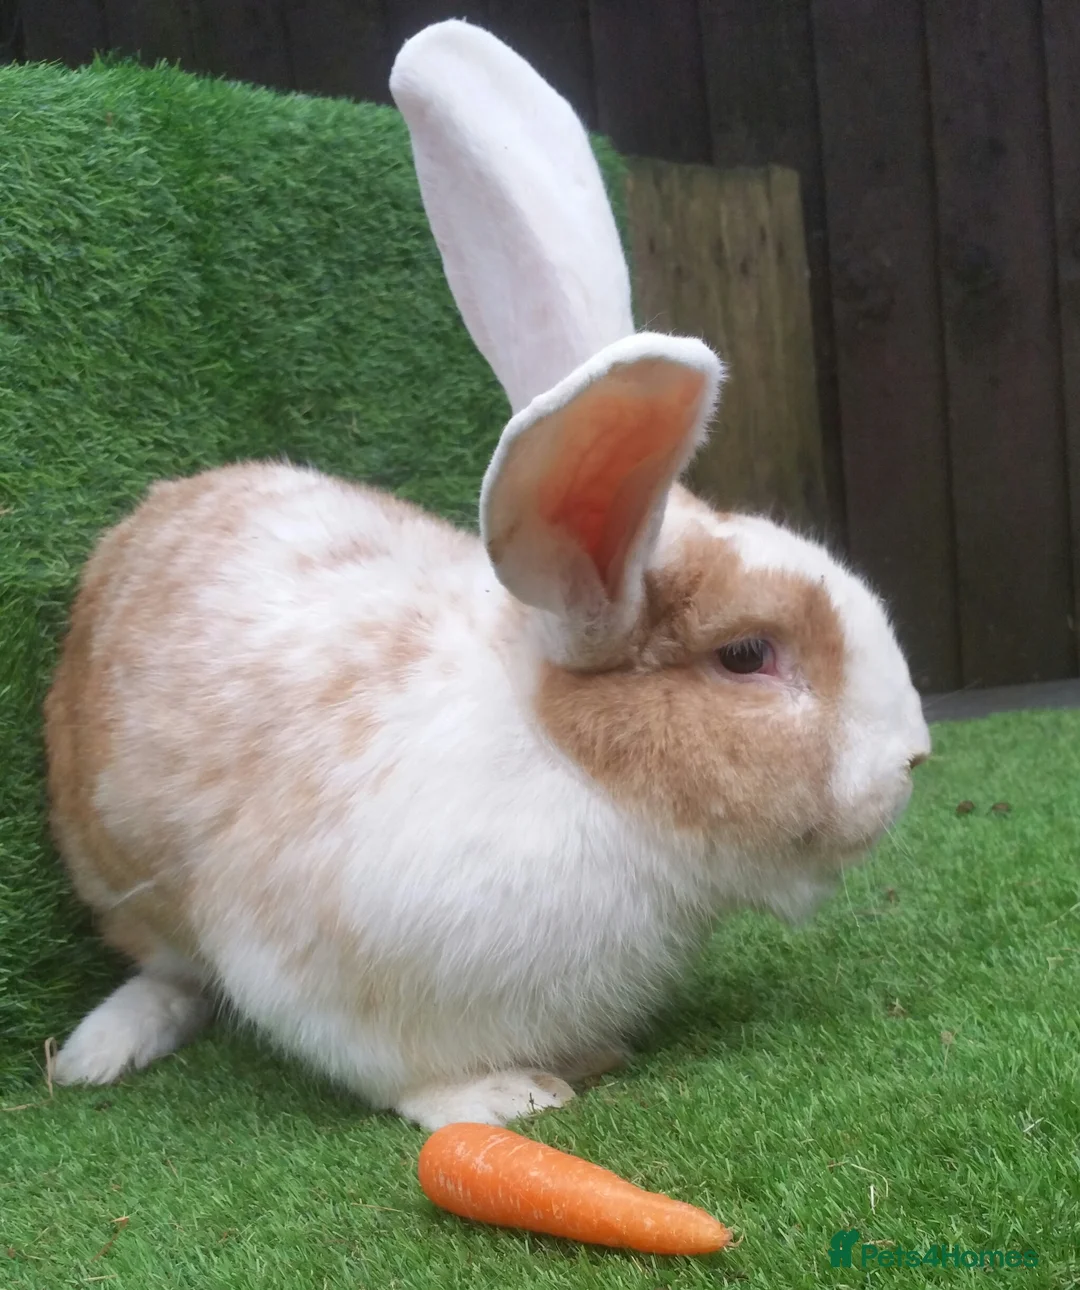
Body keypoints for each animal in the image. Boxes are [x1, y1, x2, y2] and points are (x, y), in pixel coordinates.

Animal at [44, 19, 931, 1131]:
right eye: (745, 656)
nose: (915, 757)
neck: (581, 775)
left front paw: (589, 1055)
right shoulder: (325, 972)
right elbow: (403, 1074)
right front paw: (511, 1094)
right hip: (120, 873)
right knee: (170, 970)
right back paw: (98, 1051)